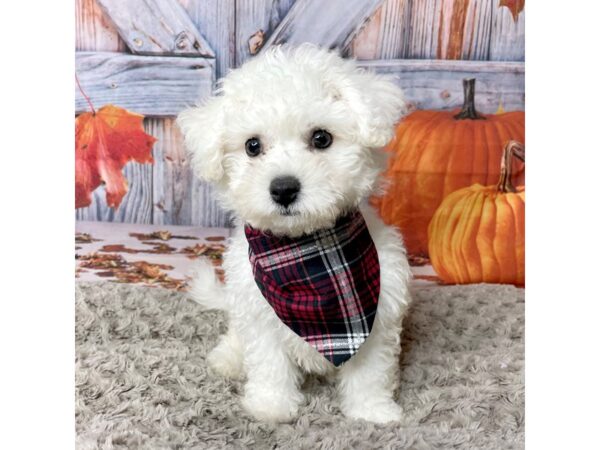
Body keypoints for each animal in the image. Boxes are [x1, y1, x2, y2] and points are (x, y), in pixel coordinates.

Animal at [177, 44, 412, 424]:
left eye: (321, 138)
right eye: (252, 146)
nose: (283, 189)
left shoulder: (378, 311)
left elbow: (370, 370)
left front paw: (371, 411)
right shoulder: (259, 310)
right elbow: (270, 363)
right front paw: (271, 407)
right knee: (235, 334)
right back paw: (228, 359)